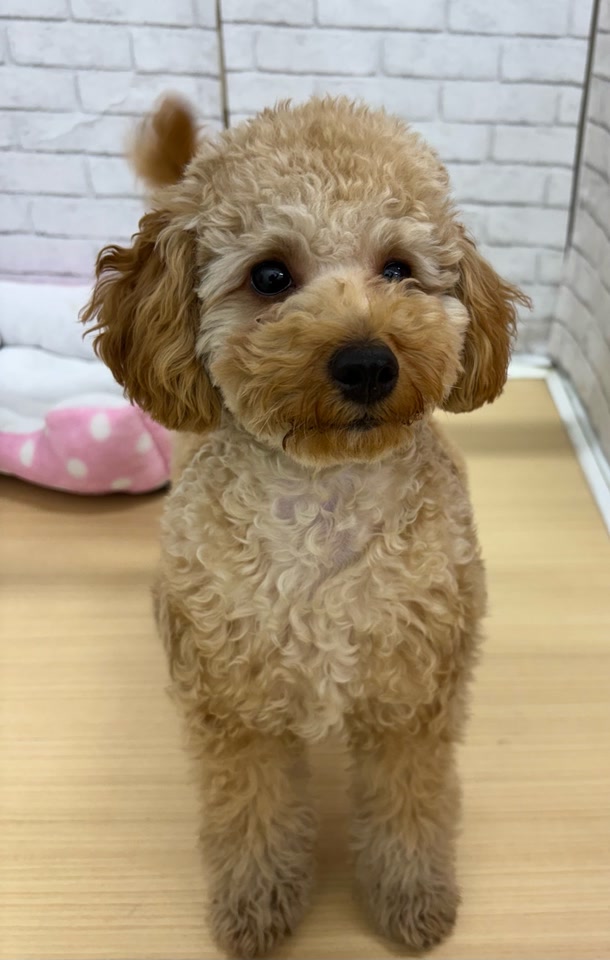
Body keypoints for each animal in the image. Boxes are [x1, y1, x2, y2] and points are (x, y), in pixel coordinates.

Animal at [82, 94, 528, 957]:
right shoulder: (234, 709)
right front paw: (258, 907)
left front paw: (412, 901)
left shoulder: (413, 700)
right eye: (270, 276)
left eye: (398, 268)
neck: (327, 502)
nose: (367, 364)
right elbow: (250, 816)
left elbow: (411, 808)